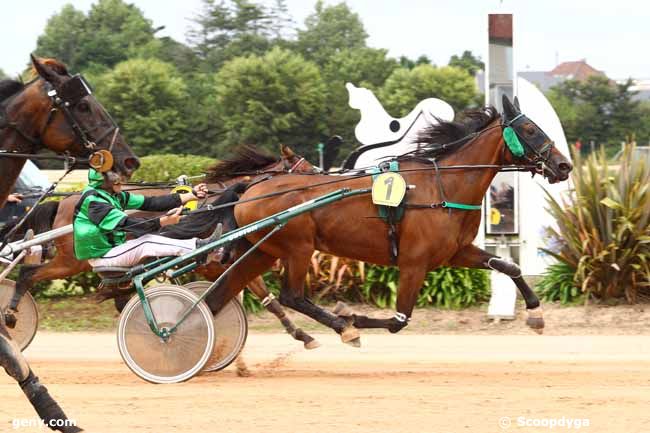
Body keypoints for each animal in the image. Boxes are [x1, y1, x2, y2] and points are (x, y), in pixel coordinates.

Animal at [3, 145, 322, 348]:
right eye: (309, 170)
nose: (324, 179)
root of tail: (66, 201)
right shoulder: (222, 261)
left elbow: (268, 299)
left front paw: (302, 335)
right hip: (73, 261)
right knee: (27, 275)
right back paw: (10, 313)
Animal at [204, 96, 572, 346]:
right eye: (529, 129)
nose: (564, 165)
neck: (442, 185)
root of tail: (251, 187)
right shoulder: (413, 262)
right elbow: (398, 320)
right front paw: (351, 316)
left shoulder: (455, 253)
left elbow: (509, 266)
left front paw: (536, 314)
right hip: (297, 248)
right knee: (292, 297)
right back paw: (343, 328)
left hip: (262, 251)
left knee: (221, 294)